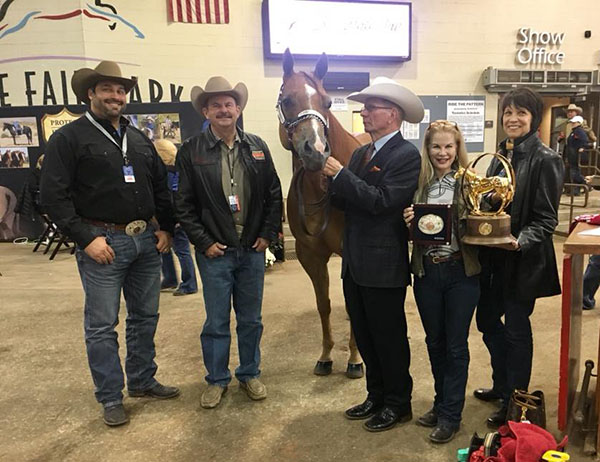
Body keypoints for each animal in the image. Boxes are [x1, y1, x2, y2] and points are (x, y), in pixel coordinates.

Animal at [278, 48, 370, 378]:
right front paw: (327, 355)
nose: (316, 151)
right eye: (286, 100)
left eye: (327, 102)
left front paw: (355, 359)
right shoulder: (311, 255)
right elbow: (324, 304)